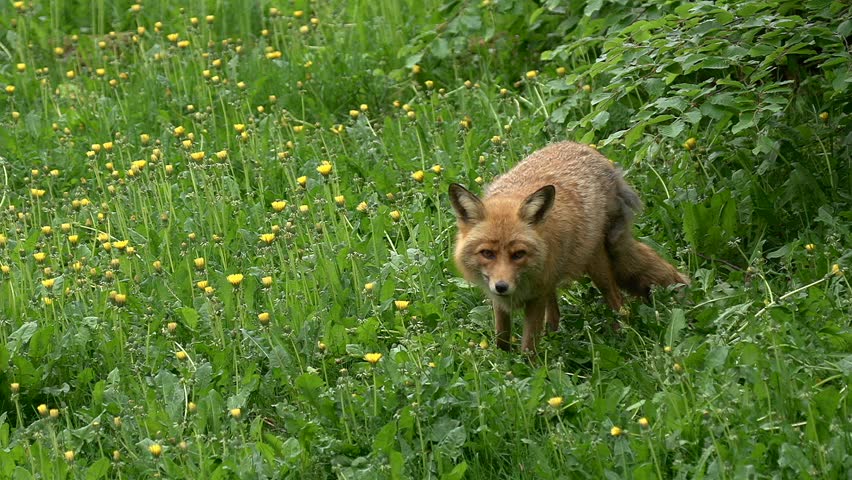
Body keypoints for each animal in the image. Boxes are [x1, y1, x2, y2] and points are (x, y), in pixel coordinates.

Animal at [449, 141, 688, 352]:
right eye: (487, 253)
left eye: (518, 254)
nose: (502, 286)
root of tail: (587, 149)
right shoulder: (501, 300)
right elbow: (502, 338)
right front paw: (505, 362)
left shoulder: (536, 297)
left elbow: (528, 347)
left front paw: (528, 369)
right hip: (554, 279)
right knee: (555, 314)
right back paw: (553, 337)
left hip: (597, 267)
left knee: (618, 302)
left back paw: (623, 334)